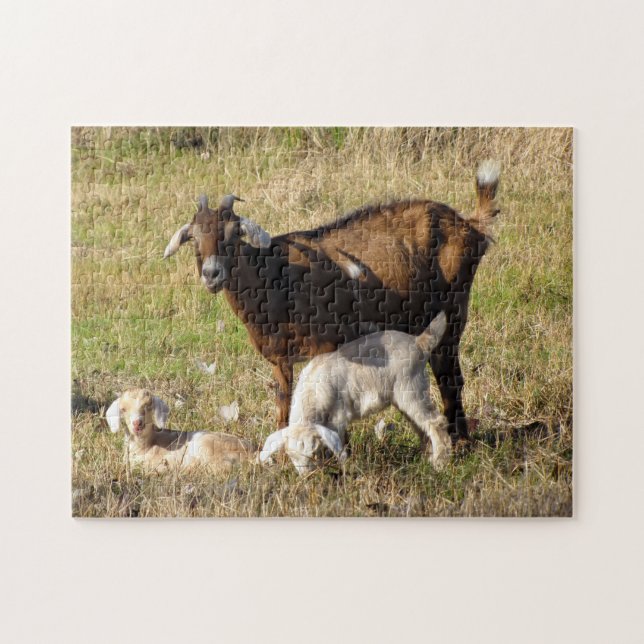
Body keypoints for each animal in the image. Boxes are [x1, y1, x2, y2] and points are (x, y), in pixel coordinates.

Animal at [105, 389, 255, 473]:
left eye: (148, 406)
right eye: (123, 409)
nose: (137, 423)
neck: (146, 445)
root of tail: (253, 453)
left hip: (206, 445)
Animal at [164, 162, 500, 440]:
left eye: (234, 233)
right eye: (193, 238)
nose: (211, 273)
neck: (271, 276)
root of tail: (470, 226)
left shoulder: (325, 344)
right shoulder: (280, 357)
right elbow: (283, 402)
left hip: (454, 310)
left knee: (450, 378)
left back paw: (460, 442)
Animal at [259, 312, 451, 474]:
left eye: (313, 453)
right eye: (291, 456)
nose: (307, 476)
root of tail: (419, 343)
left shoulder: (337, 416)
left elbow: (339, 442)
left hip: (411, 388)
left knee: (435, 422)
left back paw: (440, 463)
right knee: (421, 426)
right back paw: (426, 458)